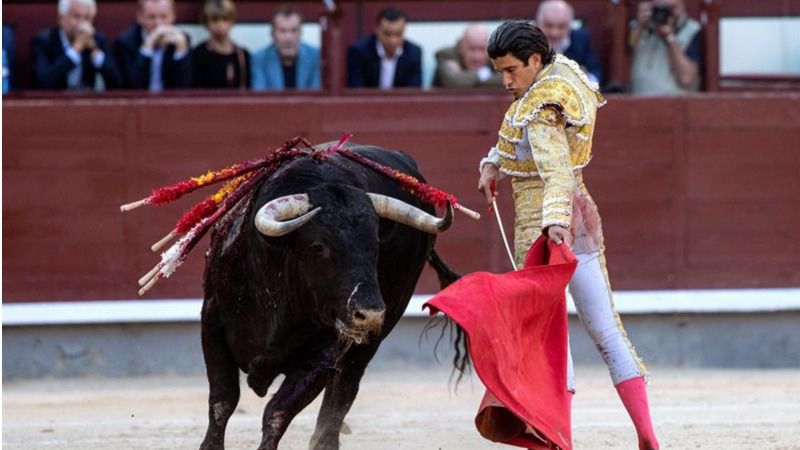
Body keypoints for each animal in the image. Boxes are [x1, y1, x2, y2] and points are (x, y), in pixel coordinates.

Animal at [199, 143, 461, 450]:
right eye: (318, 246)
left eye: (376, 244)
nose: (369, 314)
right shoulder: (212, 319)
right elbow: (223, 400)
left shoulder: (327, 348)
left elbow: (278, 411)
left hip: (375, 333)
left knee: (344, 389)